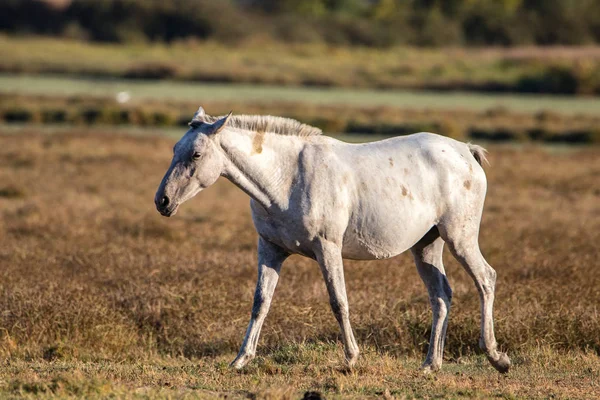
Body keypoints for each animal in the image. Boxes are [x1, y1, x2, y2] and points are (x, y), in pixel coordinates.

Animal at [155, 108, 510, 374]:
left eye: (196, 154)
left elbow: (339, 301)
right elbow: (260, 303)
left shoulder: (328, 249)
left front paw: (351, 358)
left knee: (485, 280)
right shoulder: (270, 249)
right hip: (426, 246)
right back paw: (430, 365)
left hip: (459, 238)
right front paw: (241, 359)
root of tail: (465, 151)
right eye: (173, 150)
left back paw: (496, 356)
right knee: (441, 296)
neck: (287, 178)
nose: (162, 201)